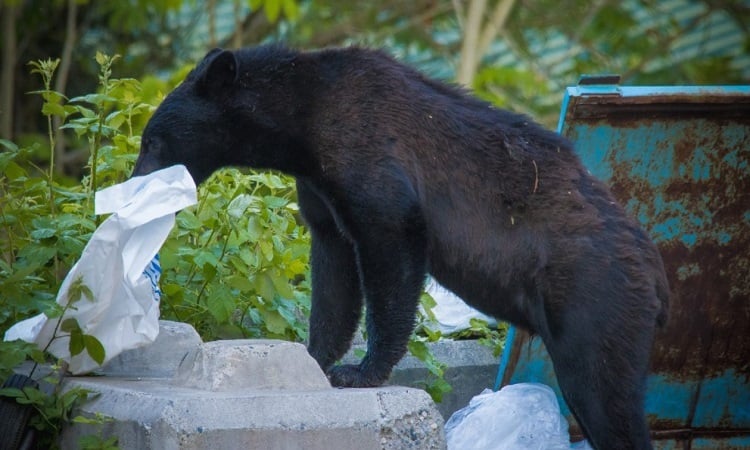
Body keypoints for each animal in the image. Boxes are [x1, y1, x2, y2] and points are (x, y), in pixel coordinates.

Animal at [134, 44, 668, 448]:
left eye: (153, 140)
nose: (135, 182)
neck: (304, 119)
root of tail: (657, 274)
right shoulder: (321, 190)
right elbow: (334, 272)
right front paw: (315, 357)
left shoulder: (370, 154)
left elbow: (390, 248)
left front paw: (361, 371)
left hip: (593, 301)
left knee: (603, 392)